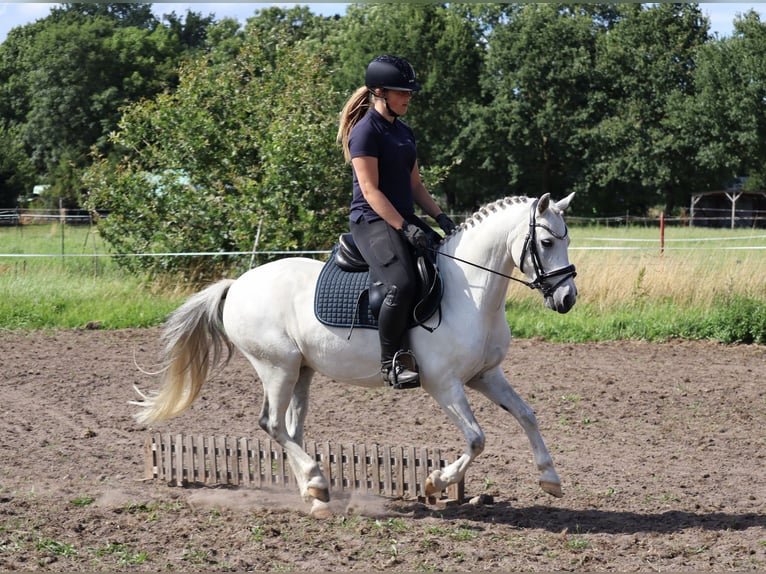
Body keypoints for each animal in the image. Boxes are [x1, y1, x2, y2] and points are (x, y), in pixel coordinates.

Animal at [135, 192, 580, 516]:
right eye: (546, 242)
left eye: (567, 240)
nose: (567, 298)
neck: (468, 291)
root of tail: (237, 284)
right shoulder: (444, 384)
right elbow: (476, 439)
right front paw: (435, 482)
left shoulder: (484, 375)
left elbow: (526, 415)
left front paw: (550, 478)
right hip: (276, 367)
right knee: (272, 425)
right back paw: (316, 482)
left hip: (302, 371)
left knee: (291, 429)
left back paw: (314, 494)